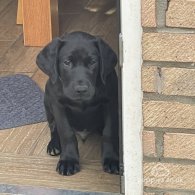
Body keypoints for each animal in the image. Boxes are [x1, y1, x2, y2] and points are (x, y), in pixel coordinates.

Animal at [36, 31, 119, 175]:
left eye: (93, 62)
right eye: (67, 62)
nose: (81, 89)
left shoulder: (110, 102)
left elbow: (109, 132)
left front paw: (111, 159)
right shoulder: (58, 105)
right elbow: (66, 132)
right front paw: (68, 160)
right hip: (47, 104)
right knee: (53, 128)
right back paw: (54, 145)